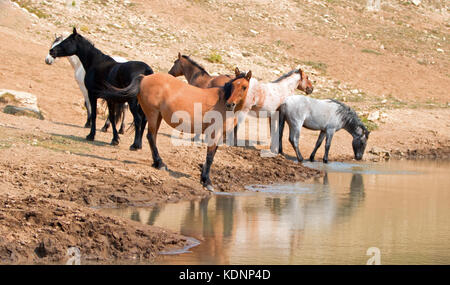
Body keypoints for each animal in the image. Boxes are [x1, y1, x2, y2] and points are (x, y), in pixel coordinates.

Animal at [100, 71, 253, 191]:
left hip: (157, 116)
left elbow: (212, 155)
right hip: (153, 114)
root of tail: (144, 78)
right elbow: (210, 157)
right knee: (151, 137)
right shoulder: (214, 132)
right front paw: (207, 182)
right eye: (233, 85)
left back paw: (156, 162)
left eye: (244, 87)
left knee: (152, 136)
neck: (221, 101)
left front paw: (203, 178)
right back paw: (160, 163)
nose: (230, 104)